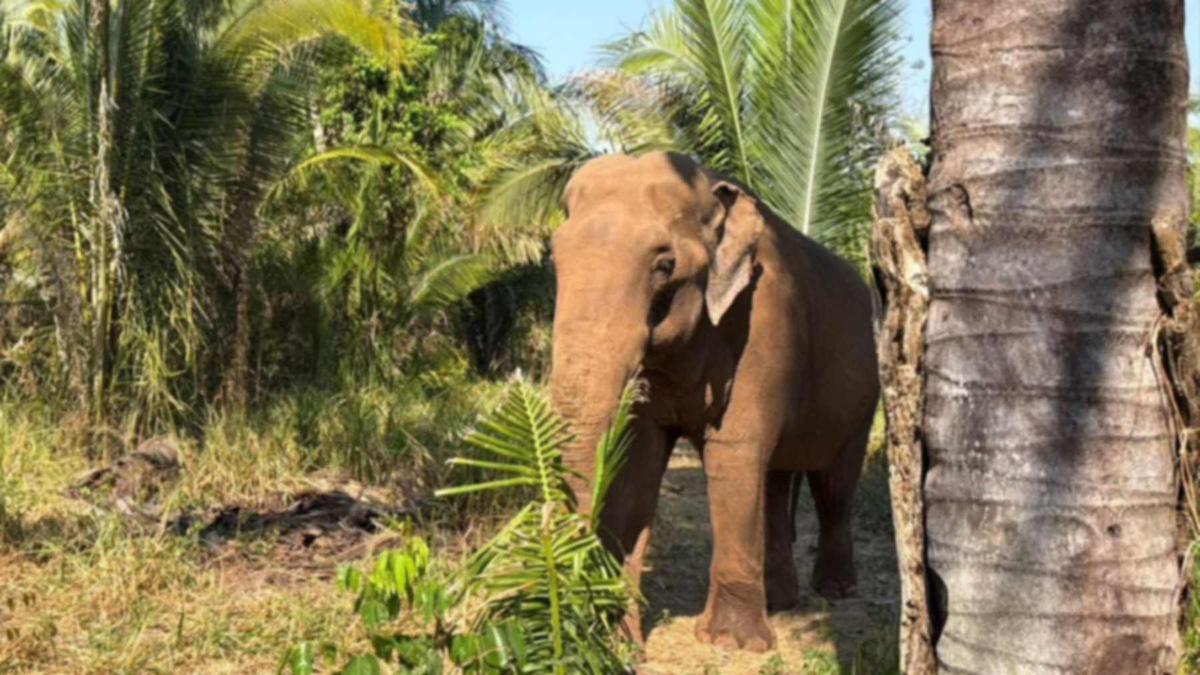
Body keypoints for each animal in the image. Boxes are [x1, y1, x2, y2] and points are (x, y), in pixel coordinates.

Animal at [549, 151, 880, 652]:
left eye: (665, 265)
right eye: (554, 255)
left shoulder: (760, 324)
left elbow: (734, 454)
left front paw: (732, 643)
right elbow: (641, 461)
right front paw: (622, 637)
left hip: (866, 396)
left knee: (833, 483)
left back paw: (835, 590)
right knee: (776, 478)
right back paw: (781, 600)